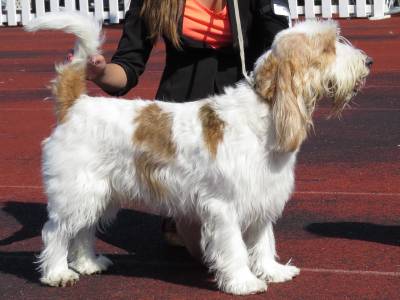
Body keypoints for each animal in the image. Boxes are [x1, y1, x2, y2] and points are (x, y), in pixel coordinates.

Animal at [26, 12, 372, 296]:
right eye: (328, 47)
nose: (368, 62)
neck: (264, 114)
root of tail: (76, 103)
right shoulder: (224, 206)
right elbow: (235, 247)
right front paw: (244, 282)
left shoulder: (262, 195)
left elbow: (263, 240)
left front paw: (272, 271)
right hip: (76, 190)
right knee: (55, 231)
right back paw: (57, 273)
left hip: (101, 191)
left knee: (84, 229)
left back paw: (88, 263)